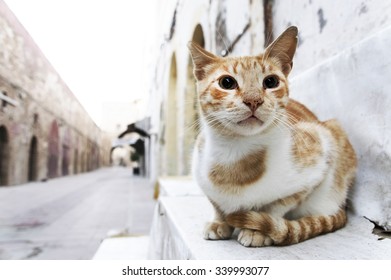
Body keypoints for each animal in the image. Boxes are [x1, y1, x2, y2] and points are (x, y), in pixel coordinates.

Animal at [189, 25, 358, 246]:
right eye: (227, 82)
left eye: (271, 81)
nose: (253, 100)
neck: (235, 151)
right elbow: (215, 202)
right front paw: (219, 222)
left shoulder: (318, 157)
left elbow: (278, 205)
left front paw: (258, 230)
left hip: (334, 133)